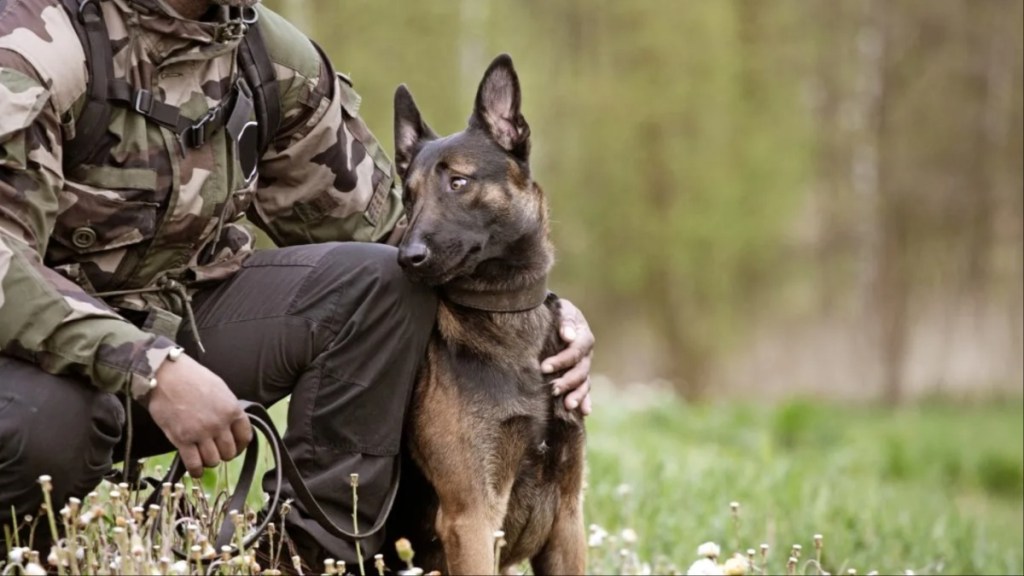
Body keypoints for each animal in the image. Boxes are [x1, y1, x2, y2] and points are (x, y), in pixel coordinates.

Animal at [387, 54, 589, 573]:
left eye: (458, 182)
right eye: (409, 196)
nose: (406, 257)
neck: (506, 312)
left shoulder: (568, 517)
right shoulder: (472, 518)